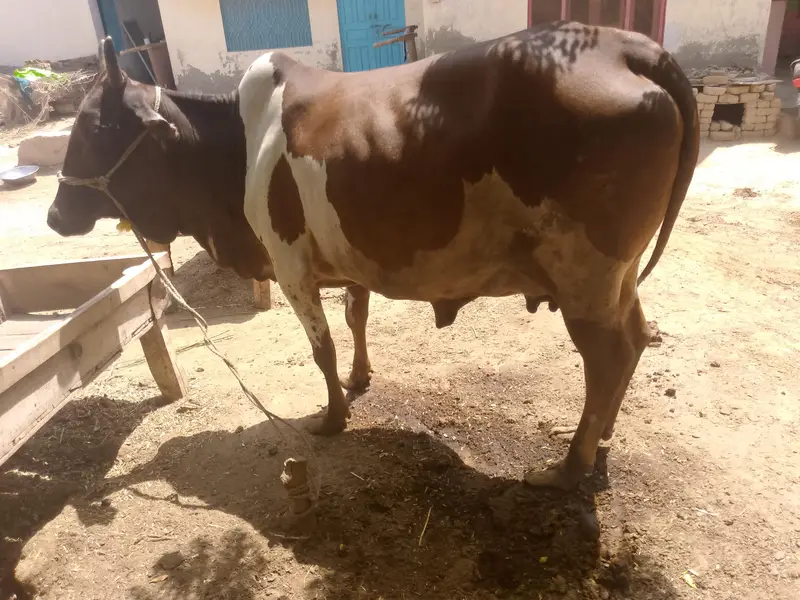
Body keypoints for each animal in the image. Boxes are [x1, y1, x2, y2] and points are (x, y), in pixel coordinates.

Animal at [45, 40, 374, 402]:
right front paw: (358, 376)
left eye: (93, 130)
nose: (54, 216)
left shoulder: (299, 267)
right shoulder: (350, 256)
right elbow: (355, 317)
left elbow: (330, 341)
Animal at [237, 22, 698, 489]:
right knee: (637, 335)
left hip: (584, 277)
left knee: (608, 359)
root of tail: (625, 45)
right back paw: (602, 432)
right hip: (620, 275)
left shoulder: (290, 265)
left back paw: (567, 468)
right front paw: (358, 377)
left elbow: (323, 348)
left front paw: (333, 419)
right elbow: (355, 318)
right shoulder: (350, 259)